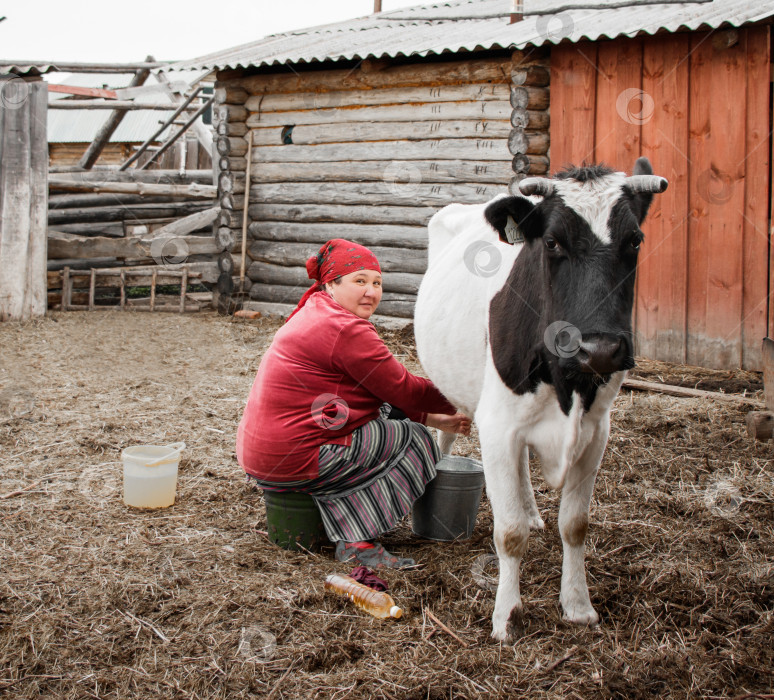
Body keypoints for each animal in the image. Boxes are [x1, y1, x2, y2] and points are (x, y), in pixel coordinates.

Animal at [416, 157, 668, 640]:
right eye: (552, 242)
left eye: (635, 240)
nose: (599, 349)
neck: (566, 382)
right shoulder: (498, 427)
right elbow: (509, 532)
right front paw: (506, 616)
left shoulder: (596, 431)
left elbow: (575, 525)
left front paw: (578, 605)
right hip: (448, 386)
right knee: (446, 435)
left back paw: (533, 510)